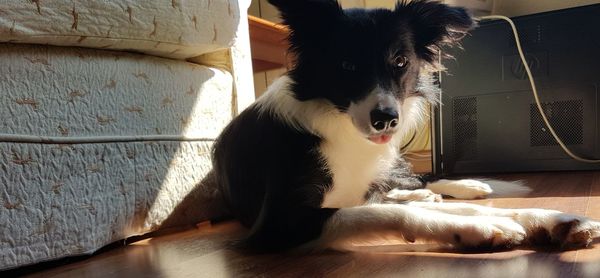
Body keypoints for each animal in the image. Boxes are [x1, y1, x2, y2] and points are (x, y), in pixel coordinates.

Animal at [211, 0, 600, 252]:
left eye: (400, 61)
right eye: (346, 65)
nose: (387, 119)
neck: (340, 125)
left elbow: (429, 204)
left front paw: (549, 218)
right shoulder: (279, 223)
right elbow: (384, 212)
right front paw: (476, 228)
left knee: (417, 180)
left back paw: (466, 186)